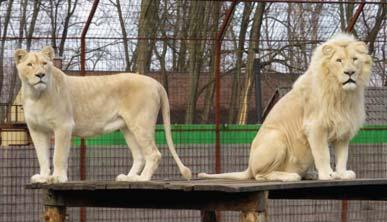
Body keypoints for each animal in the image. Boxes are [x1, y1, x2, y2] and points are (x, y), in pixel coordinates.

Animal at [15, 46, 192, 183]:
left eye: (44, 64)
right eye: (30, 64)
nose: (40, 75)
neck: (36, 95)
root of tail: (155, 83)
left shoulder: (63, 126)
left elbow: (58, 155)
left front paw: (57, 178)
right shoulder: (37, 130)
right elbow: (42, 156)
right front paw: (43, 177)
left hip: (141, 124)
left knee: (154, 154)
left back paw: (142, 179)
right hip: (128, 128)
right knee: (140, 155)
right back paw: (129, 177)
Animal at [200, 33, 372, 182]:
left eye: (355, 59)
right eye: (339, 60)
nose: (350, 73)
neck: (342, 94)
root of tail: (249, 166)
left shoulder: (343, 129)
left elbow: (342, 156)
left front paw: (342, 174)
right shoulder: (315, 126)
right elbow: (323, 154)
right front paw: (327, 175)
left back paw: (309, 174)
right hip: (277, 137)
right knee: (259, 175)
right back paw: (291, 176)